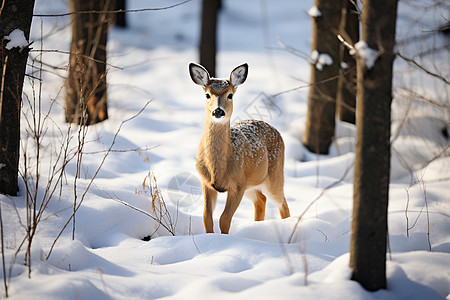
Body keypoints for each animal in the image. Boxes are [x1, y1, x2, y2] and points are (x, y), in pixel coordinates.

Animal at [188, 62, 290, 233]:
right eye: (207, 95)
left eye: (230, 95)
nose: (218, 111)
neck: (218, 170)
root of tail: (275, 130)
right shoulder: (206, 183)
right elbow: (206, 217)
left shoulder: (238, 184)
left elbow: (224, 219)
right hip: (252, 184)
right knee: (261, 200)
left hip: (274, 175)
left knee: (282, 204)